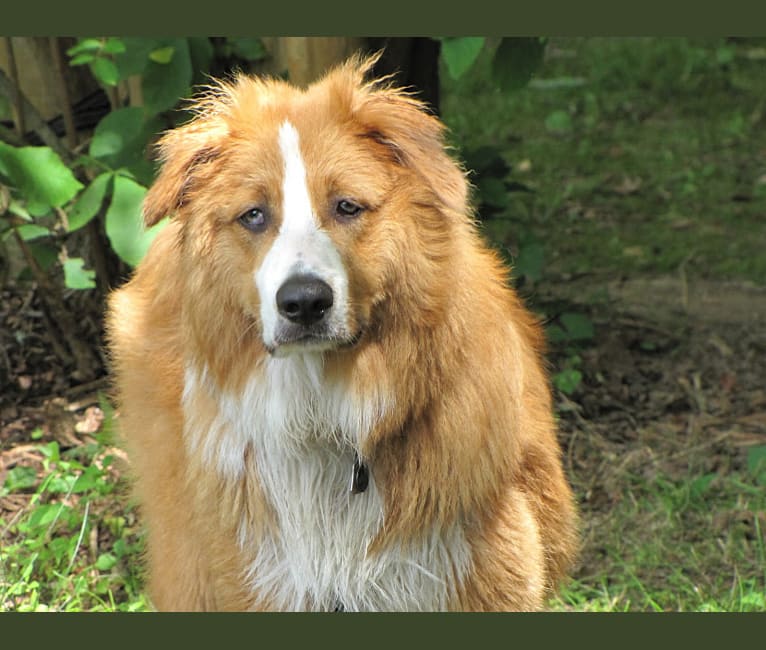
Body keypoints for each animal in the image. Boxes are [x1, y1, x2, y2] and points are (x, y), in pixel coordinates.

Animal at [106, 54, 576, 608]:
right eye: (254, 215)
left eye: (347, 206)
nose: (304, 302)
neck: (326, 415)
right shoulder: (262, 572)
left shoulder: (476, 559)